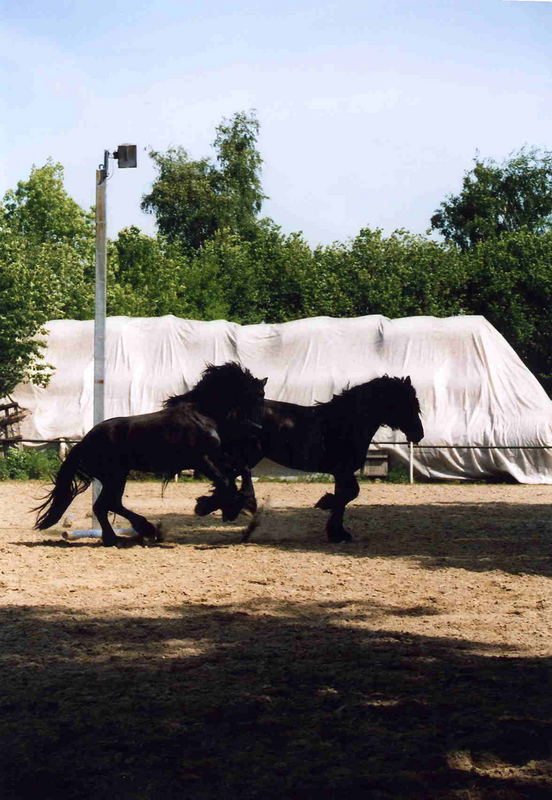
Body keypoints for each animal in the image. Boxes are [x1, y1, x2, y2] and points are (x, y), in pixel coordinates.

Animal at [34, 364, 268, 548]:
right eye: (253, 397)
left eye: (261, 397)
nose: (257, 429)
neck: (201, 415)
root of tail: (84, 442)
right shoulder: (201, 460)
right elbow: (226, 482)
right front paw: (215, 507)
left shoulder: (216, 456)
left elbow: (241, 470)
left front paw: (240, 503)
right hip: (114, 476)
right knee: (106, 505)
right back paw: (139, 531)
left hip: (116, 476)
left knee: (106, 505)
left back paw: (123, 536)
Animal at [196, 376, 424, 544]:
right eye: (406, 404)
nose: (419, 434)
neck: (345, 423)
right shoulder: (343, 470)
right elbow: (348, 495)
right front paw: (327, 509)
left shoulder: (342, 472)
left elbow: (345, 497)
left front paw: (337, 532)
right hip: (248, 456)